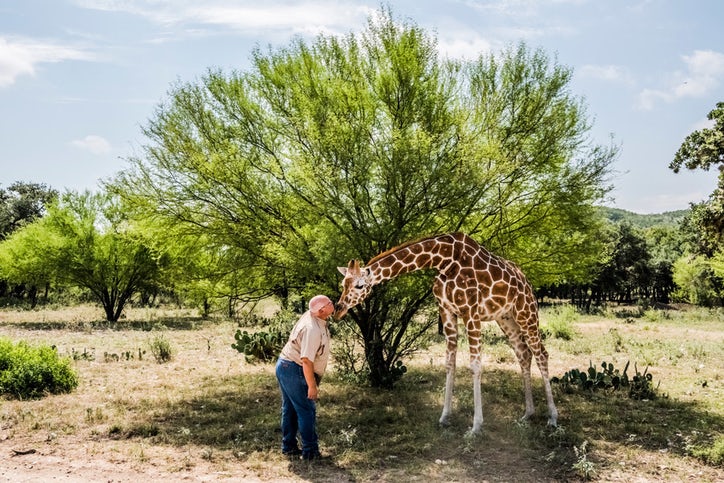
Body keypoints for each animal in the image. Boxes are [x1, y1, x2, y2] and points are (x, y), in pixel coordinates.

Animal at [334, 233, 560, 432]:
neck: (443, 260)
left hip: (526, 313)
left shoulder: (471, 312)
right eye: (342, 284)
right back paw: (528, 413)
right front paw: (444, 417)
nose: (338, 309)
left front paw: (476, 426)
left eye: (359, 285)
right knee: (524, 354)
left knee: (541, 354)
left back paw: (552, 417)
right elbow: (450, 363)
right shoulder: (447, 312)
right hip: (506, 318)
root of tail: (527, 282)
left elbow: (475, 365)